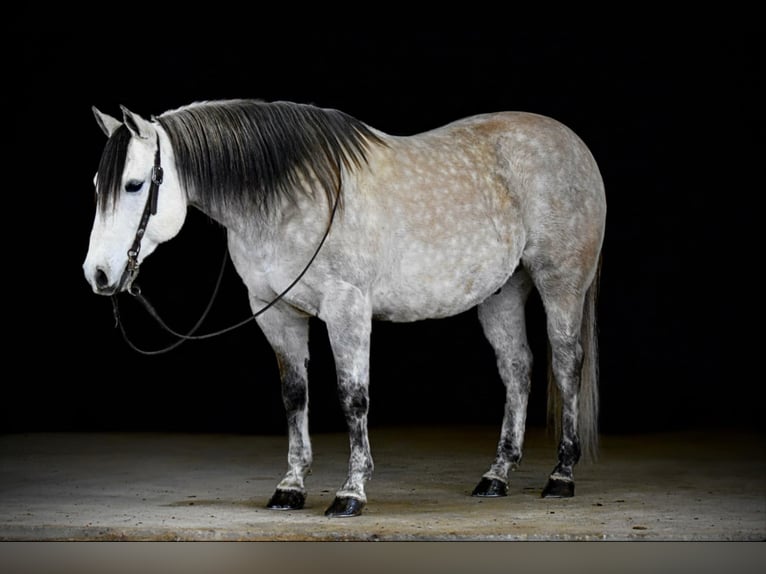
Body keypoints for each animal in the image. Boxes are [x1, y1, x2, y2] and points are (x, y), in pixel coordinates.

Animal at [84, 98, 608, 516]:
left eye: (134, 185)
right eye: (97, 184)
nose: (99, 275)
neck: (290, 197)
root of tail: (573, 143)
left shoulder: (346, 308)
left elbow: (353, 397)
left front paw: (351, 491)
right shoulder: (275, 313)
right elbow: (295, 395)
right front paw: (291, 487)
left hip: (560, 284)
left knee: (566, 365)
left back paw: (561, 476)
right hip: (502, 293)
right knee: (517, 370)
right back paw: (496, 476)